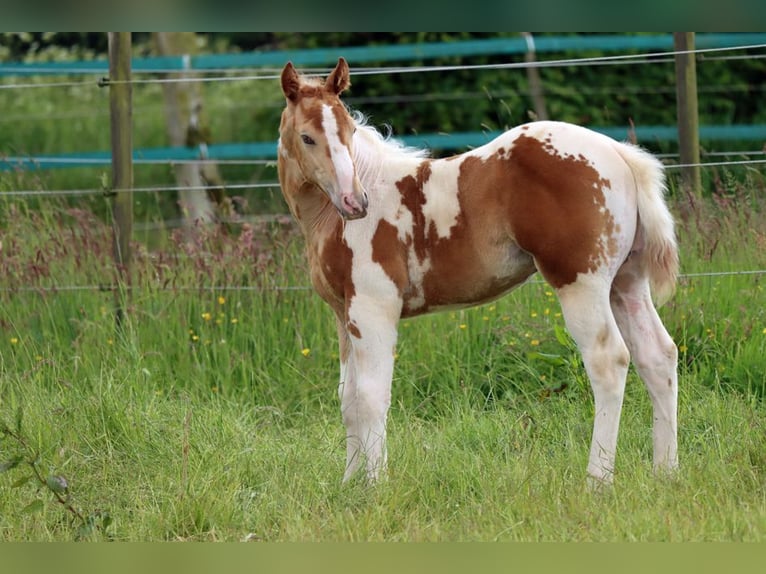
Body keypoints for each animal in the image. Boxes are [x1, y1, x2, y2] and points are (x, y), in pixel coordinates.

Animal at [277, 57, 679, 485]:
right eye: (307, 137)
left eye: (349, 131)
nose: (355, 202)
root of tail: (619, 153)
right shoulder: (343, 314)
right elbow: (348, 399)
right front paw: (350, 483)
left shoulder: (373, 309)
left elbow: (371, 398)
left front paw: (376, 485)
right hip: (626, 283)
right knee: (658, 356)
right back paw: (666, 473)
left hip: (580, 283)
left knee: (608, 361)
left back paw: (597, 482)